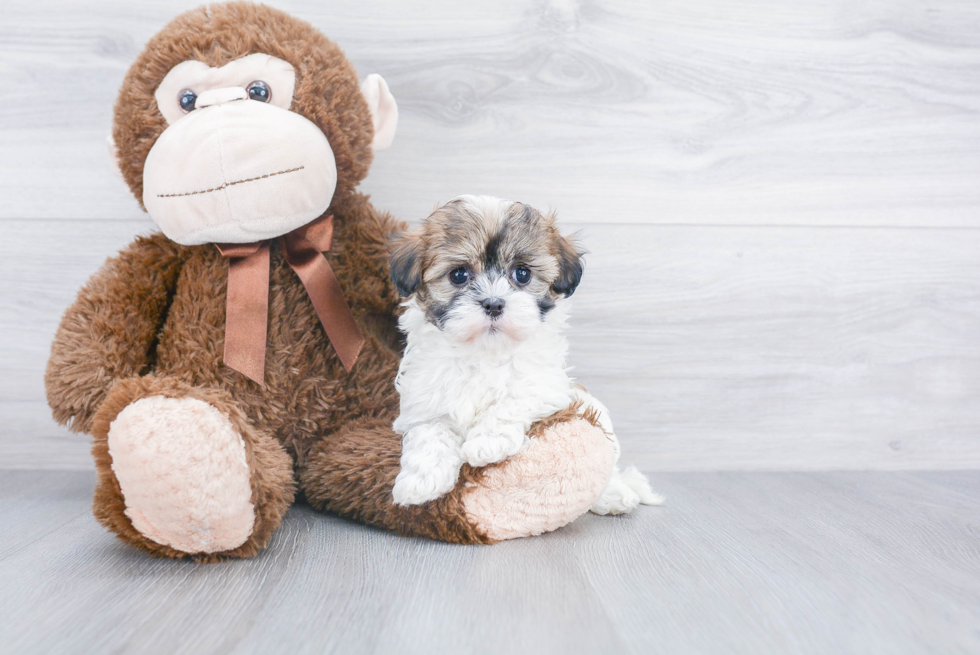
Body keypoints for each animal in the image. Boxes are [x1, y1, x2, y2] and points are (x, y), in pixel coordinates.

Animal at [386, 197, 664, 516]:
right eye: (459, 274)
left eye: (522, 273)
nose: (494, 303)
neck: (485, 351)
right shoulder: (425, 400)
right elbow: (431, 431)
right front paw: (420, 481)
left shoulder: (547, 384)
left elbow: (513, 397)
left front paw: (488, 441)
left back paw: (615, 494)